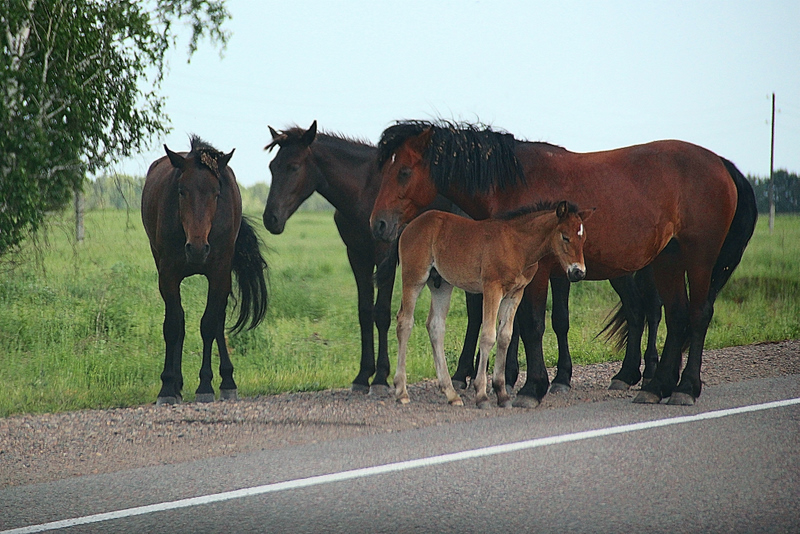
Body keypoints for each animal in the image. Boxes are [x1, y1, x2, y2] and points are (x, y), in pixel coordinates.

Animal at [141, 137, 268, 406]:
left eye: (216, 193)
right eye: (181, 191)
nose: (198, 249)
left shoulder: (219, 273)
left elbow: (209, 324)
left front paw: (205, 385)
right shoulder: (168, 275)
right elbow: (173, 325)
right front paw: (167, 386)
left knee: (218, 321)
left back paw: (227, 381)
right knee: (180, 321)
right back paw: (177, 384)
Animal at [382, 202, 592, 410]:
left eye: (583, 239)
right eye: (565, 237)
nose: (578, 272)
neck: (516, 245)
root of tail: (409, 226)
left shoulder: (515, 293)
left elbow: (505, 337)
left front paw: (502, 394)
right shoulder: (492, 288)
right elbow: (488, 336)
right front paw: (481, 395)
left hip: (441, 284)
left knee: (435, 326)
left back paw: (451, 394)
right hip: (414, 278)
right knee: (405, 322)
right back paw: (401, 392)